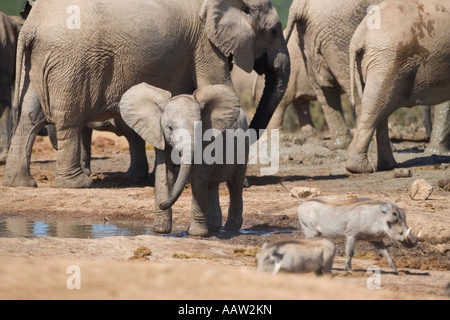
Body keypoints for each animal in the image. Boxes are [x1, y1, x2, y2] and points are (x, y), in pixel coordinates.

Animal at [3, 0, 288, 189]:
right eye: (274, 31)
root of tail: (30, 26)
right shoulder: (204, 43)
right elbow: (219, 87)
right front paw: (241, 182)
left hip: (41, 59)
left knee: (30, 116)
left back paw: (21, 183)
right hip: (71, 62)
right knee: (69, 120)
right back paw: (77, 184)